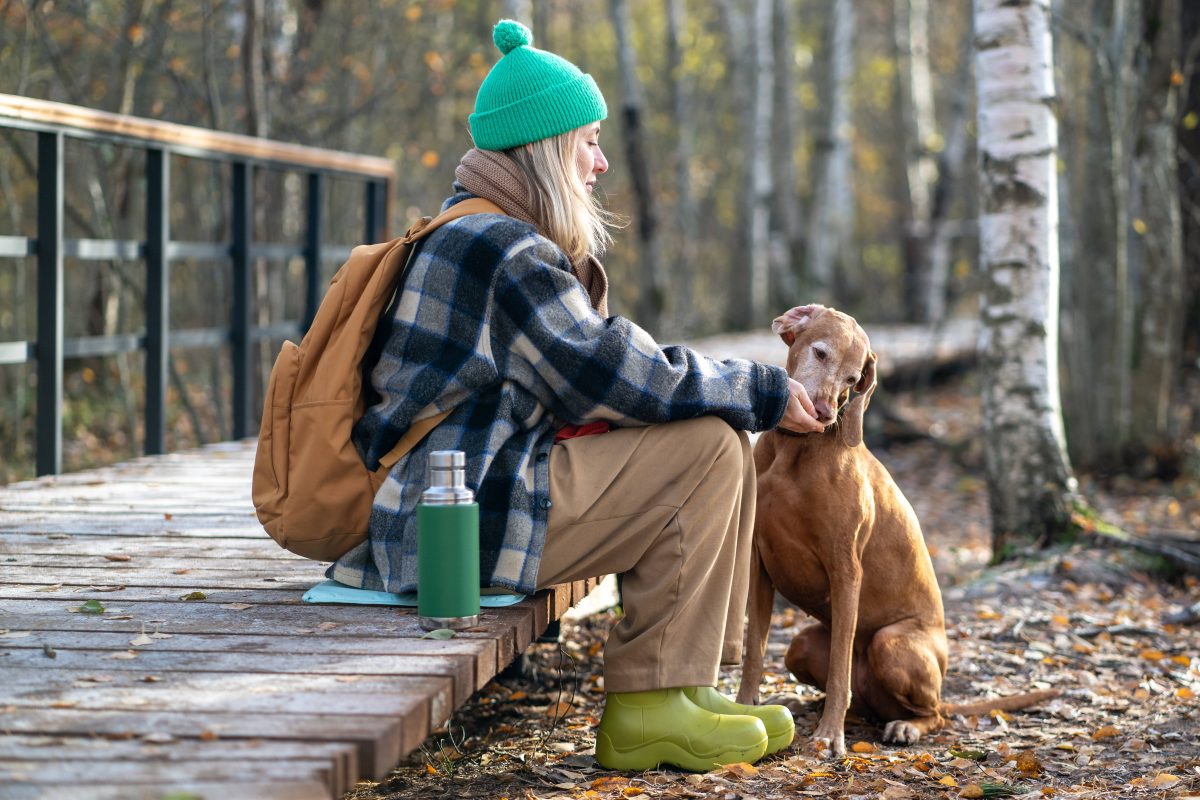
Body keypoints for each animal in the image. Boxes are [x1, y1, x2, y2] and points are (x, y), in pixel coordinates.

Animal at [734, 304, 1056, 758]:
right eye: (820, 353)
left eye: (853, 379)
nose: (825, 413)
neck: (793, 453)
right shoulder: (759, 565)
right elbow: (754, 652)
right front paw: (746, 709)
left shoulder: (846, 568)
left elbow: (839, 670)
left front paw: (830, 737)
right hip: (801, 646)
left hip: (891, 643)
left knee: (932, 713)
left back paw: (903, 726)